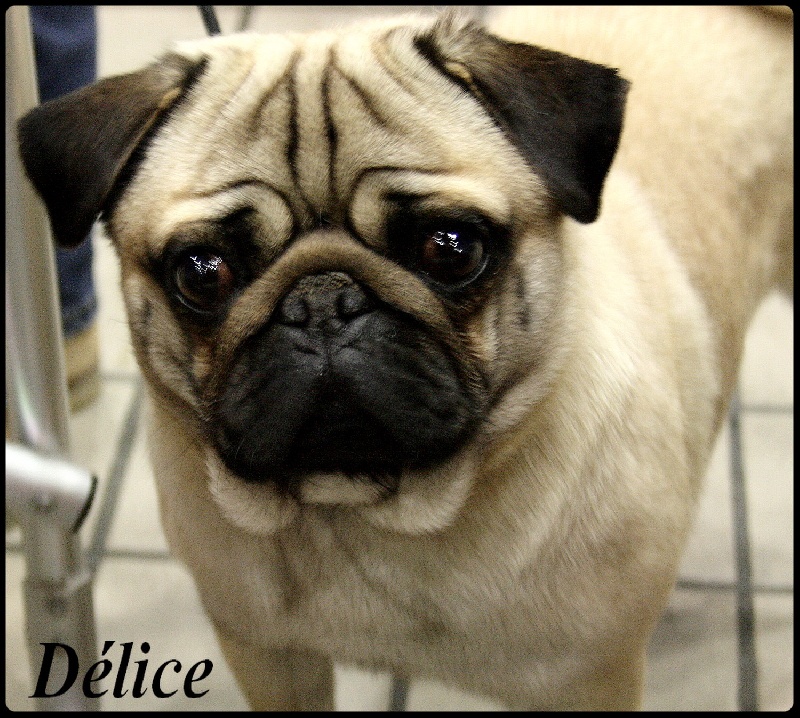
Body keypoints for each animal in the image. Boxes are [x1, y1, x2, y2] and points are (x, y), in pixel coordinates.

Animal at [18, 6, 792, 710]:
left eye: (451, 249)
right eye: (202, 273)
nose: (322, 303)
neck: (370, 518)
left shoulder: (587, 682)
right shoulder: (268, 656)